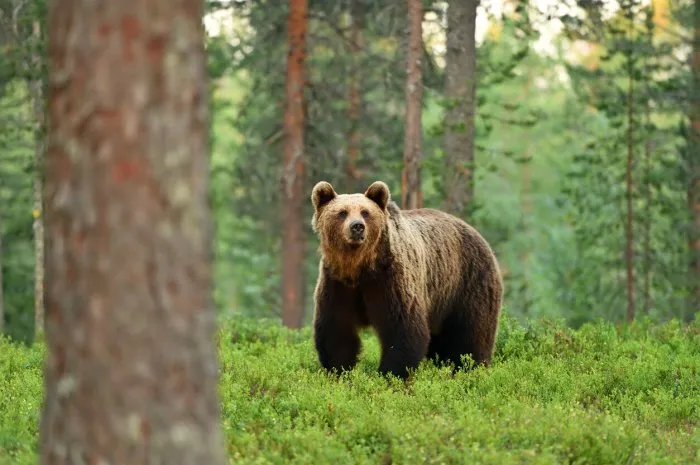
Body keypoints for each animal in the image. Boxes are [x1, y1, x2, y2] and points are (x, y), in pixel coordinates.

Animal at [310, 180, 504, 379]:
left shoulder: (390, 281)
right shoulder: (337, 285)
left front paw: (390, 375)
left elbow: (403, 330)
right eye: (342, 212)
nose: (357, 226)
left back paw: (471, 369)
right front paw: (339, 372)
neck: (360, 268)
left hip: (467, 283)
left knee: (471, 336)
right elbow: (337, 332)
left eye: (365, 212)